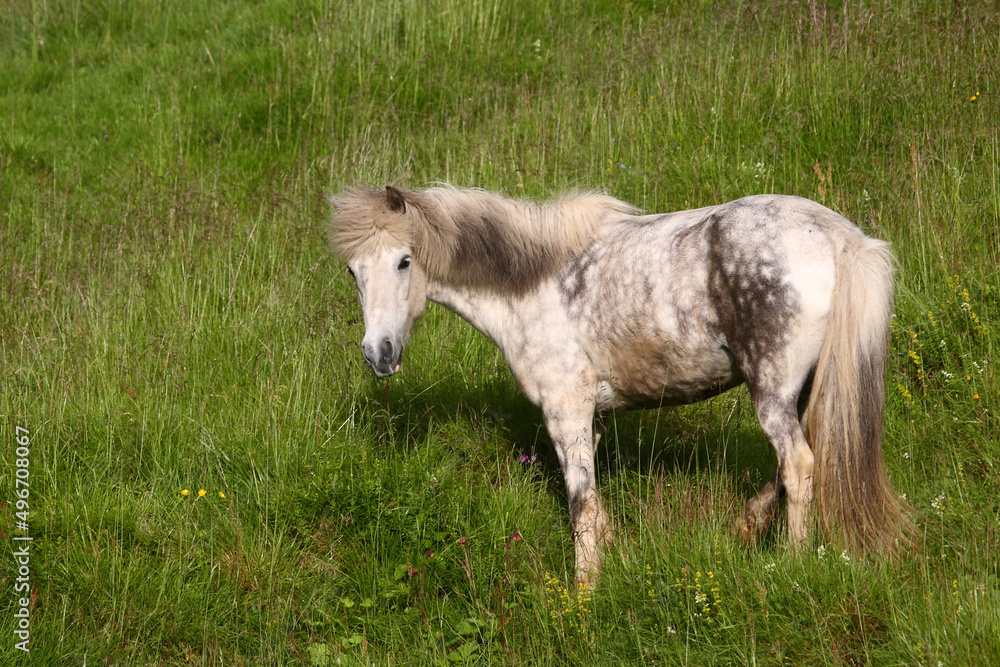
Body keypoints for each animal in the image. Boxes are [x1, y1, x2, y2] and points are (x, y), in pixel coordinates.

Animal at [328, 184, 911, 587]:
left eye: (404, 261)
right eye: (354, 272)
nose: (378, 355)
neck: (530, 283)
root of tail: (840, 237)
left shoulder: (566, 410)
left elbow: (581, 503)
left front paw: (584, 593)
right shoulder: (594, 417)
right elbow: (595, 503)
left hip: (771, 392)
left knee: (798, 465)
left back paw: (787, 562)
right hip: (803, 391)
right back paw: (745, 527)